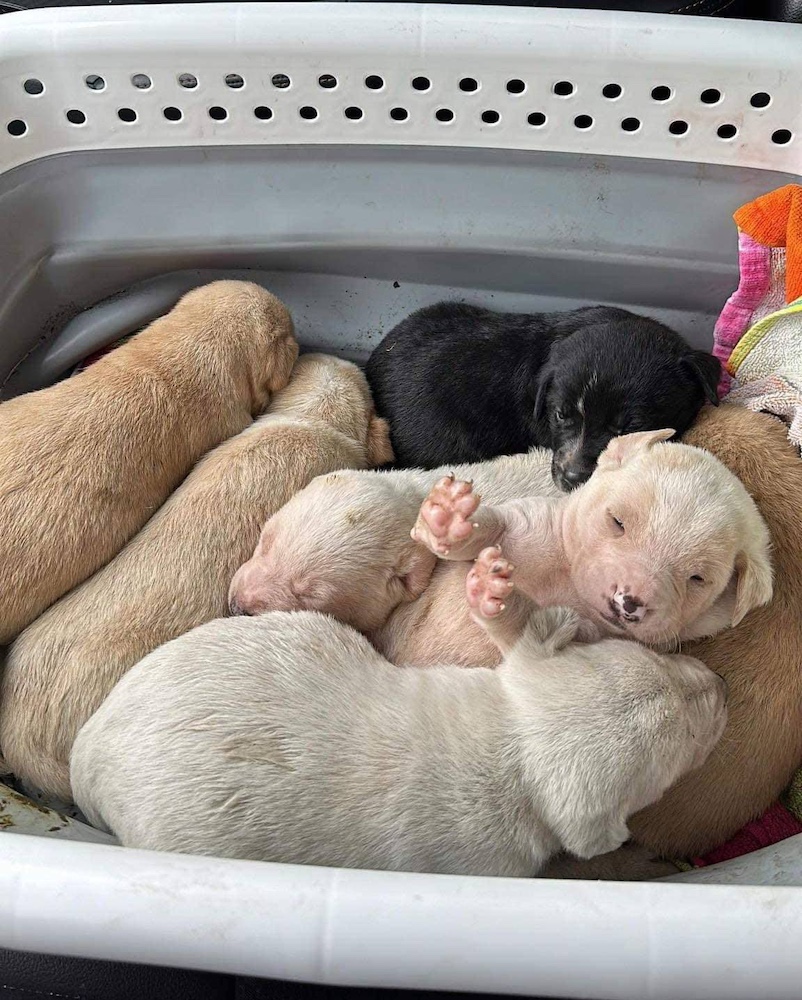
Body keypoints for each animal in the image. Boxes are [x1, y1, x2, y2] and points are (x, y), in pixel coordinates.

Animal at [72, 552, 728, 880]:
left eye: (652, 660)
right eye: (685, 748)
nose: (722, 687)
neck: (512, 741)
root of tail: (88, 752)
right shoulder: (489, 861)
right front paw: (634, 856)